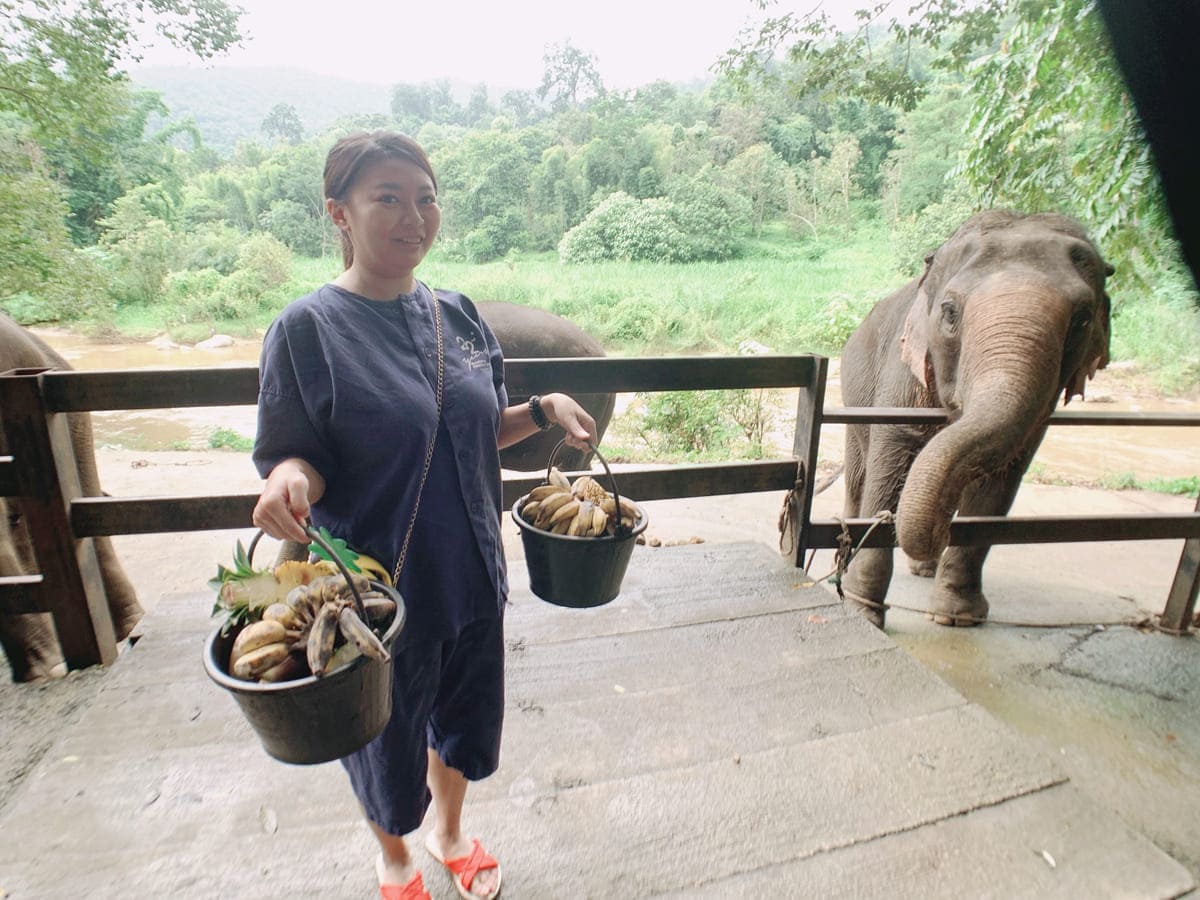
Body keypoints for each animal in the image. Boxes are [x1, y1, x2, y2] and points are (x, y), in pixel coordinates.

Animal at [840, 212, 1108, 628]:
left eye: (1081, 321)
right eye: (949, 312)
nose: (939, 529)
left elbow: (998, 482)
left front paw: (956, 617)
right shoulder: (902, 376)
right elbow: (893, 458)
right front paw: (862, 612)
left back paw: (926, 570)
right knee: (858, 478)